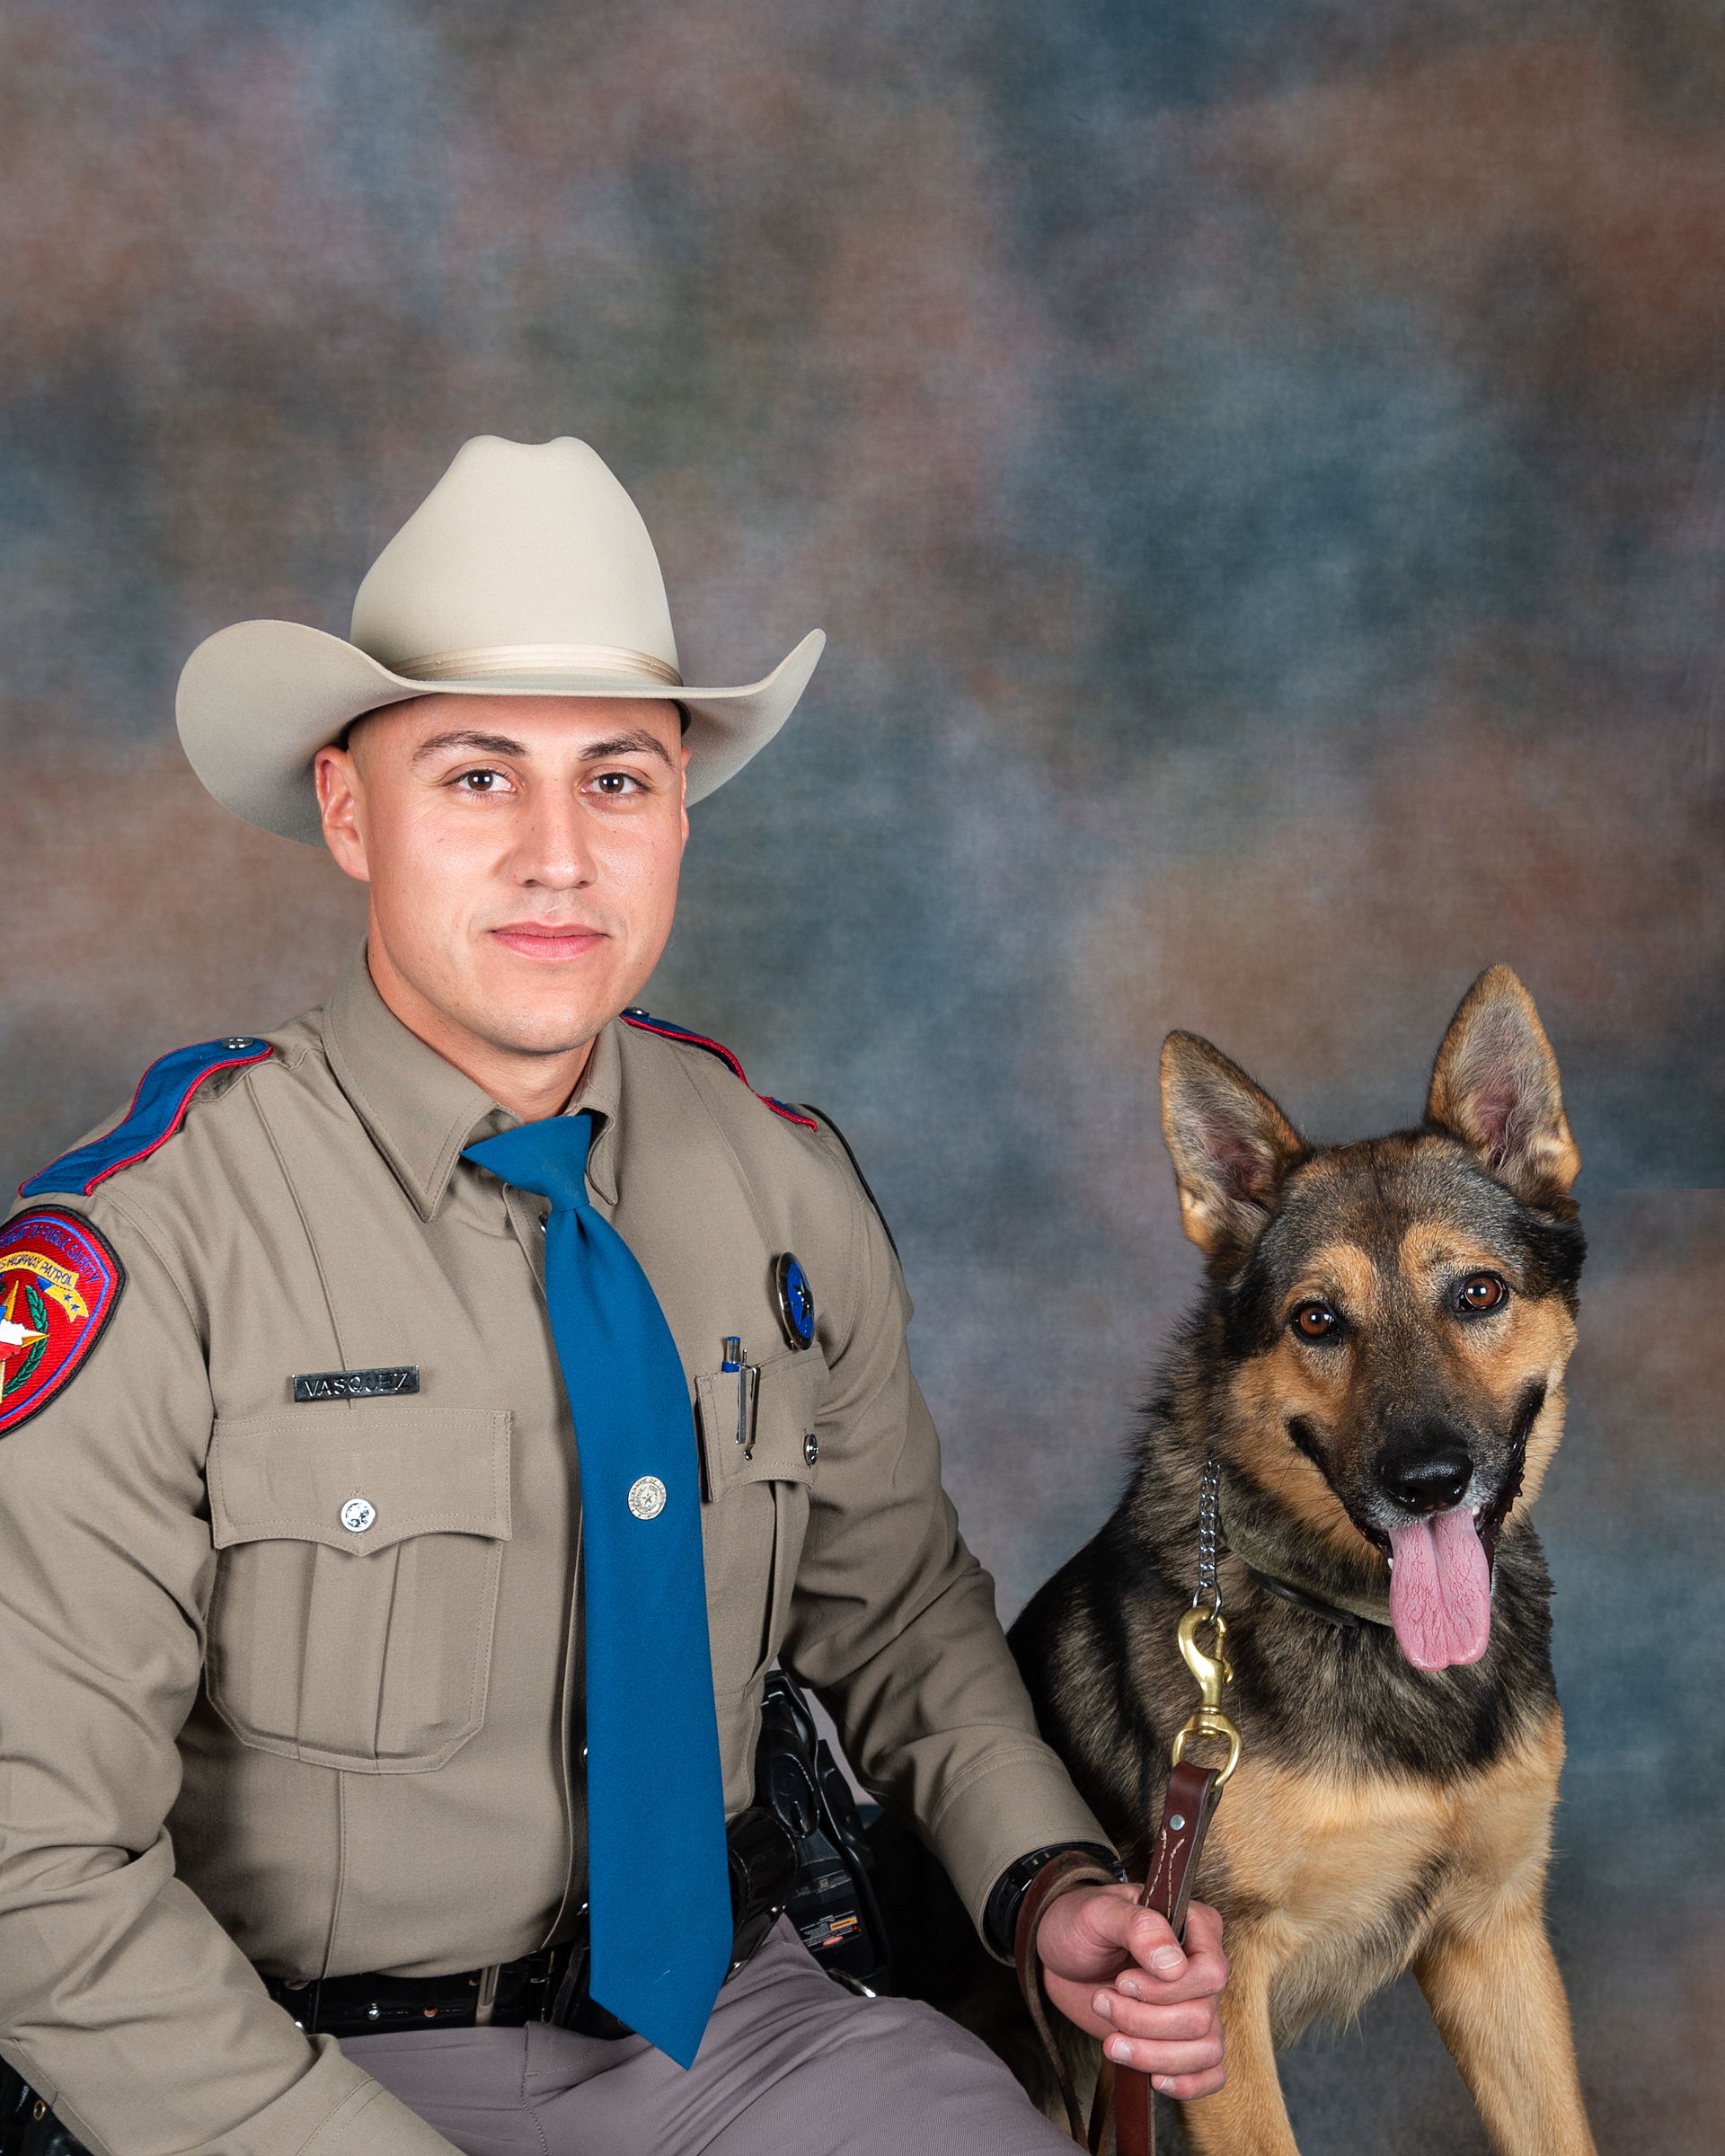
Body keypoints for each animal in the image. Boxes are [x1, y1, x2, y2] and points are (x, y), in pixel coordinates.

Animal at [884, 974, 1596, 2156]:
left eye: (1479, 1295)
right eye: (1316, 1320)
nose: (1427, 1482)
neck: (1358, 1620)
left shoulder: (1494, 1941)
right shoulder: (1202, 1992)